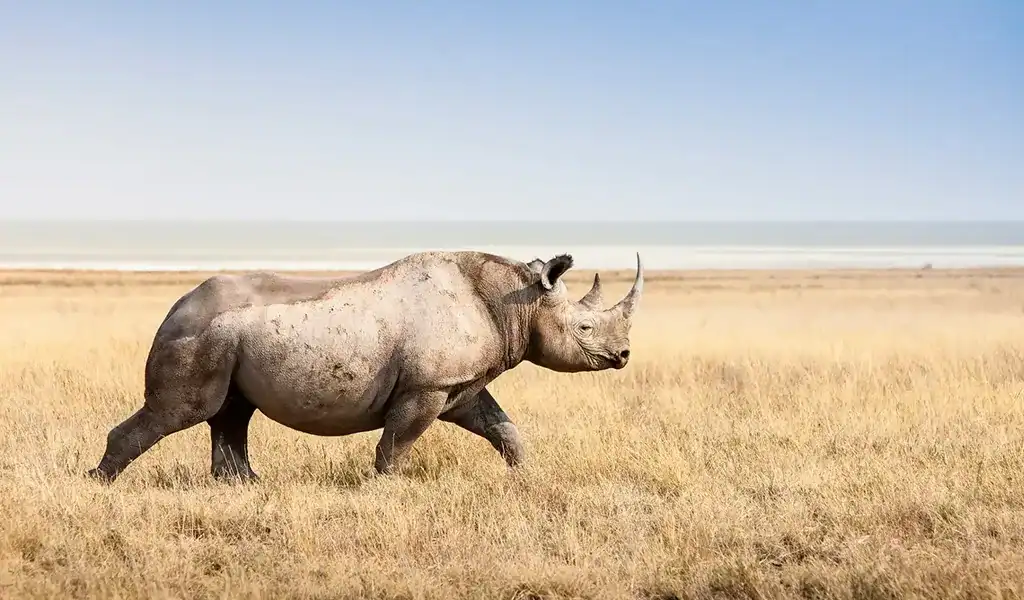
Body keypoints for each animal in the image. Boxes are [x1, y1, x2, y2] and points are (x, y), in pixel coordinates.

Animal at [86, 249, 642, 483]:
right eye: (584, 328)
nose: (623, 357)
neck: (515, 303)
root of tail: (175, 305)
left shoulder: (457, 385)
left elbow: (502, 426)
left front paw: (526, 475)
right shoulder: (426, 385)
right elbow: (398, 441)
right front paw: (388, 488)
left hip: (226, 337)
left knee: (231, 413)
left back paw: (246, 486)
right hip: (198, 332)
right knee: (182, 411)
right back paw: (99, 482)